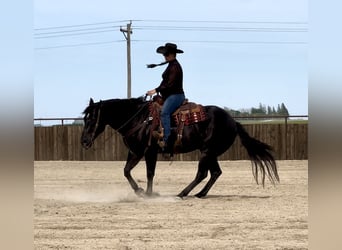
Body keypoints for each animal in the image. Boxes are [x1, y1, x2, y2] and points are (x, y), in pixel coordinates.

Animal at [81, 96, 280, 198]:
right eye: (84, 118)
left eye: (92, 118)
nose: (83, 141)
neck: (139, 119)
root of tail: (233, 121)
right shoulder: (135, 152)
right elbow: (126, 170)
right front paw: (139, 191)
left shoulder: (150, 152)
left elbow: (149, 173)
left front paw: (149, 193)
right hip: (211, 153)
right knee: (215, 173)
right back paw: (199, 194)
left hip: (207, 151)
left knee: (202, 173)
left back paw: (183, 193)